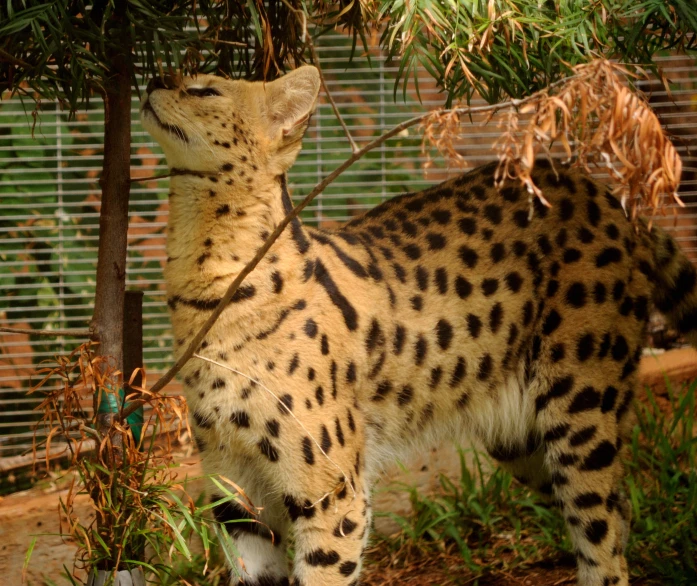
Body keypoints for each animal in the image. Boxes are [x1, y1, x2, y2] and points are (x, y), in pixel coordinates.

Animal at [141, 66, 696, 584]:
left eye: (206, 90)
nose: (151, 80)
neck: (202, 281)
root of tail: (604, 193)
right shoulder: (236, 496)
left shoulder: (333, 495)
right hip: (523, 440)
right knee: (618, 509)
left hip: (581, 412)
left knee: (602, 532)